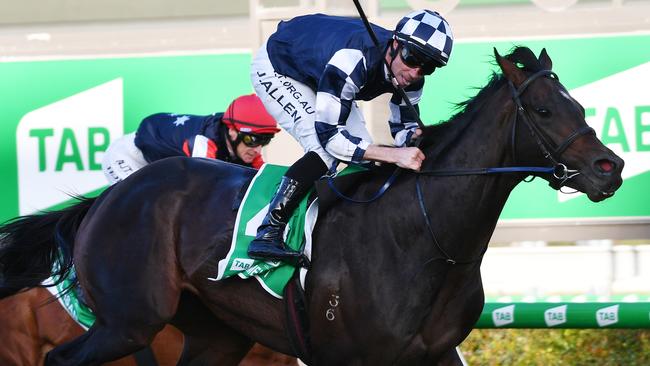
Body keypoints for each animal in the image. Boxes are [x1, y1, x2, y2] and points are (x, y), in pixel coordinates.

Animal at [0, 47, 624, 364]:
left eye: (577, 103)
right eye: (543, 110)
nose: (610, 168)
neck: (425, 239)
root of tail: (106, 199)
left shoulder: (433, 355)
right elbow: (328, 139)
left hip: (214, 333)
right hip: (129, 323)